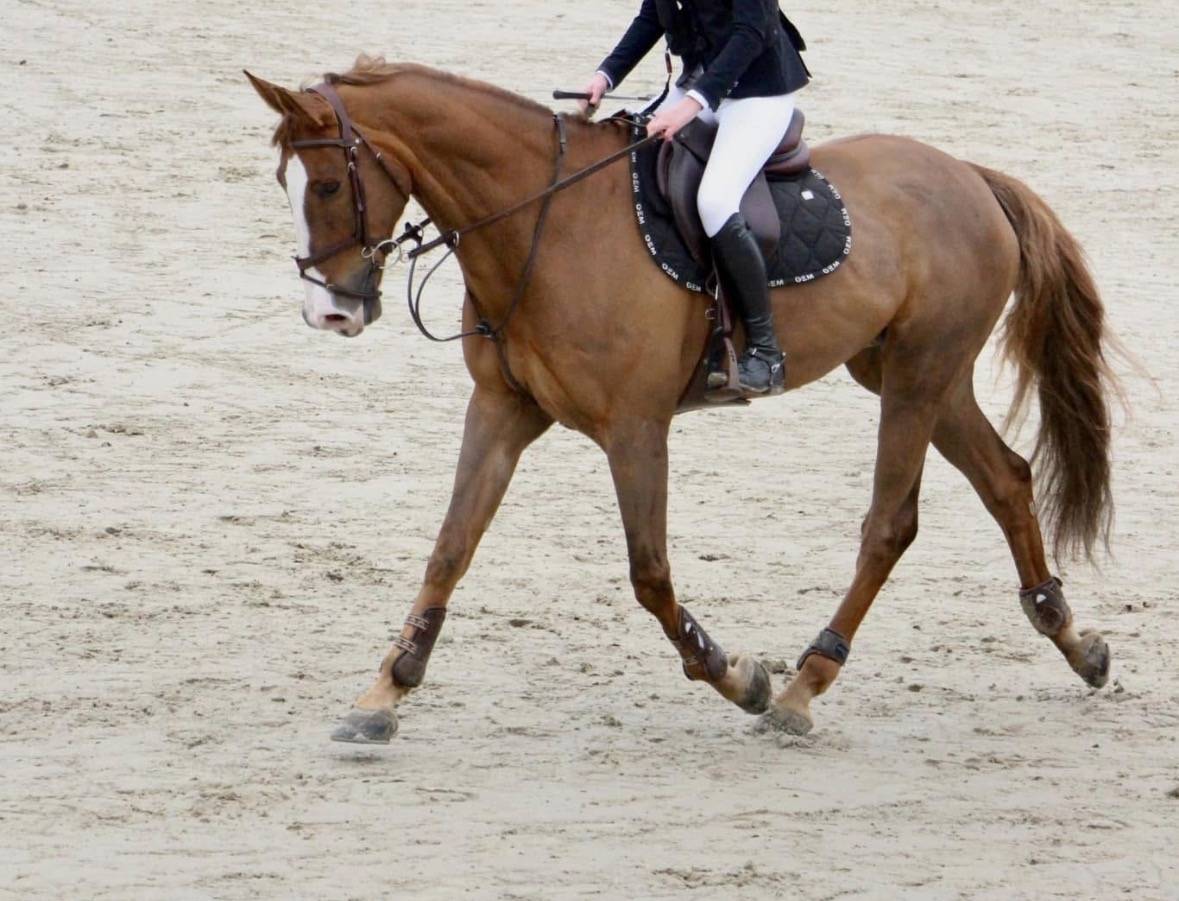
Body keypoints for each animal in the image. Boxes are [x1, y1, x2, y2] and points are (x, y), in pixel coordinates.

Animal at [245, 57, 1117, 743]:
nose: (330, 311)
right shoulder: (500, 409)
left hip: (915, 376)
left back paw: (801, 688)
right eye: (285, 183)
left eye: (330, 182)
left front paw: (738, 675)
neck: (544, 220)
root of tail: (972, 176)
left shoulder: (635, 427)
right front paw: (383, 692)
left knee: (888, 525)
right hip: (914, 374)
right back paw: (1074, 641)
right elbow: (450, 548)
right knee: (1004, 477)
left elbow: (649, 572)